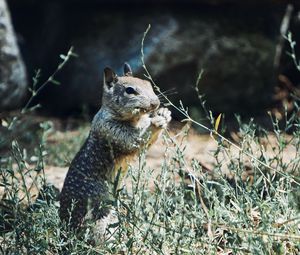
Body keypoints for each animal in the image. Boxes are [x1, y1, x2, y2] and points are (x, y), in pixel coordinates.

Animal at [59, 62, 171, 238]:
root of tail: (64, 225)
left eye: (148, 84)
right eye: (130, 90)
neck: (135, 119)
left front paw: (164, 113)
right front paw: (157, 121)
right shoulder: (112, 130)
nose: (155, 103)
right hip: (100, 215)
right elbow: (135, 141)